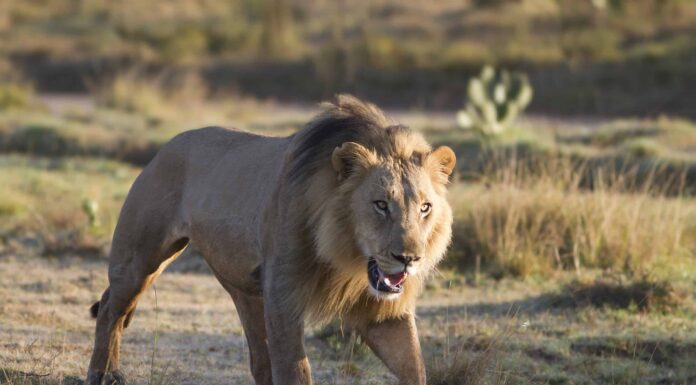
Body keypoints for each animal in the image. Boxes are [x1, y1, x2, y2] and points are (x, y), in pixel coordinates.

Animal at [87, 94, 456, 384]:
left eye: (425, 207)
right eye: (380, 205)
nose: (409, 258)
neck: (344, 256)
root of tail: (165, 147)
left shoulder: (386, 314)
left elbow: (414, 368)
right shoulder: (283, 297)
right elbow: (295, 372)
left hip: (245, 289)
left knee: (258, 359)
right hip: (140, 260)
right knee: (110, 310)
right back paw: (103, 375)